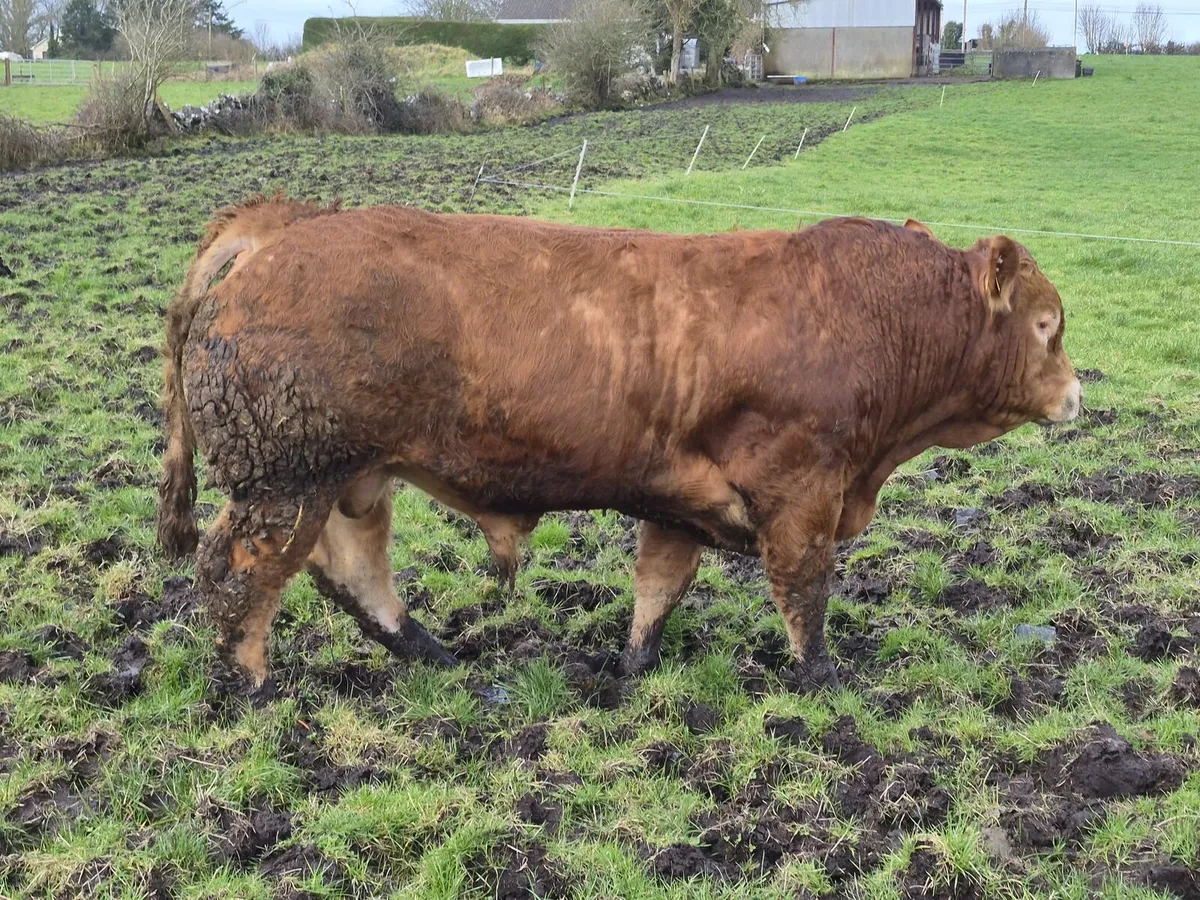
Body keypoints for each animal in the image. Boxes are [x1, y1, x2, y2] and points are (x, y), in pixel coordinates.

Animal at [156, 195, 1080, 691]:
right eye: (1047, 324)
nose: (1077, 392)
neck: (867, 316)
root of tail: (285, 225)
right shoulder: (802, 492)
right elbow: (806, 593)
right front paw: (823, 679)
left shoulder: (677, 500)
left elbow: (658, 589)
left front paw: (633, 665)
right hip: (285, 481)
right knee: (236, 575)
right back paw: (249, 683)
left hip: (348, 478)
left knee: (353, 571)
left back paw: (433, 652)